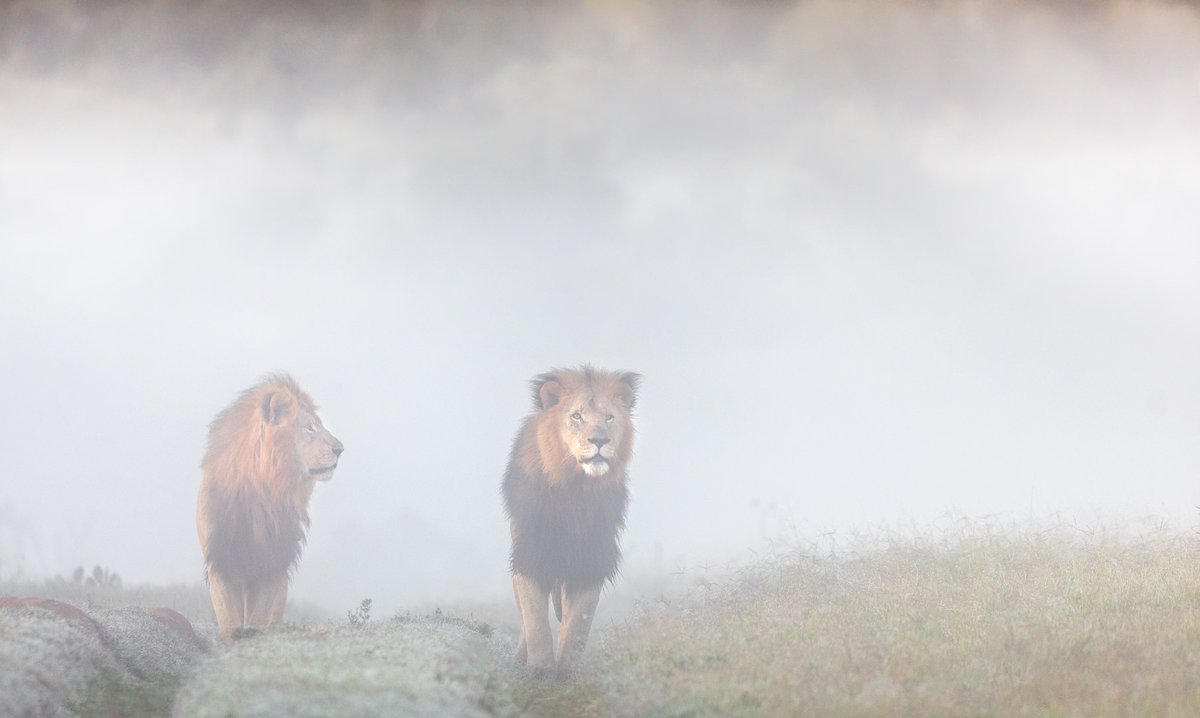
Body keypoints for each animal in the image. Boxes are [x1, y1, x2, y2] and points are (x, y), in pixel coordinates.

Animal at [196, 374, 343, 644]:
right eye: (309, 428)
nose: (341, 449)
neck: (262, 492)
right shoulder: (221, 562)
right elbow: (229, 621)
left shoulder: (273, 564)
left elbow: (257, 619)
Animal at [502, 365, 640, 672]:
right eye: (576, 416)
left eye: (609, 417)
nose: (599, 440)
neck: (575, 489)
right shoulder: (530, 552)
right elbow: (535, 619)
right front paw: (539, 669)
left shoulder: (592, 558)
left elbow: (578, 623)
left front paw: (567, 670)